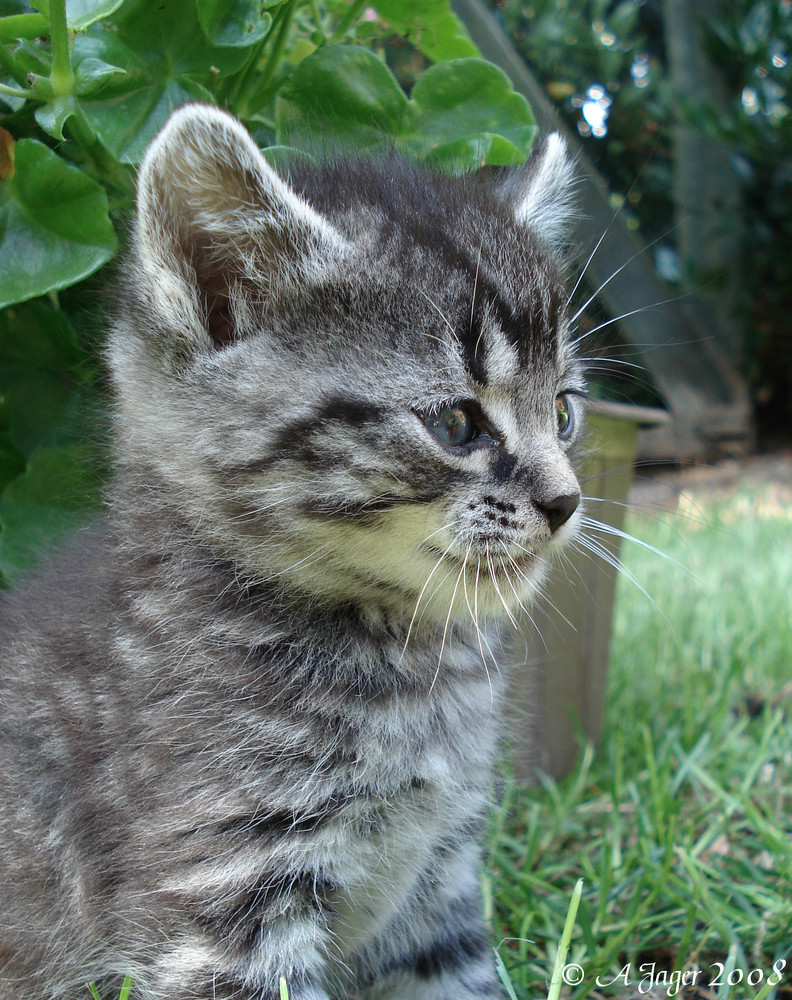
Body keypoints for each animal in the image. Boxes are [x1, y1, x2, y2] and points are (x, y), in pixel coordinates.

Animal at [0, 105, 580, 996]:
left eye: (565, 412)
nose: (566, 501)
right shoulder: (223, 892)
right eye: (456, 424)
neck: (412, 666)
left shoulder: (439, 889)